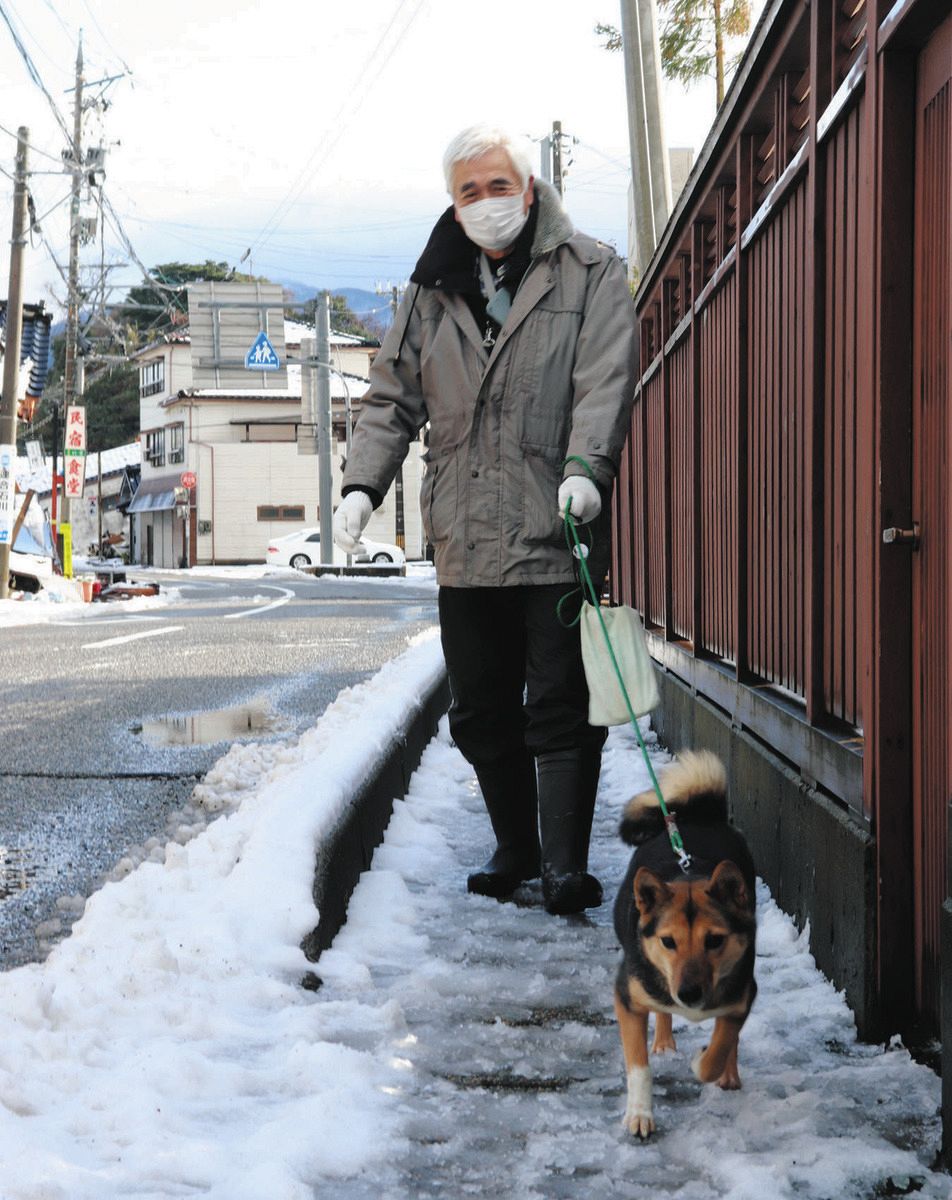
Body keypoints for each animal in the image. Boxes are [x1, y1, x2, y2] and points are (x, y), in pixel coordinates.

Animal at [609, 753, 758, 1137]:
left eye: (715, 940)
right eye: (668, 941)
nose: (689, 994)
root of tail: (698, 815)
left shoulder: (741, 995)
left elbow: (721, 1045)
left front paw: (704, 1060)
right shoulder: (627, 995)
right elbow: (638, 1065)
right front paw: (639, 1114)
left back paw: (729, 1074)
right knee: (661, 1010)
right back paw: (663, 1041)